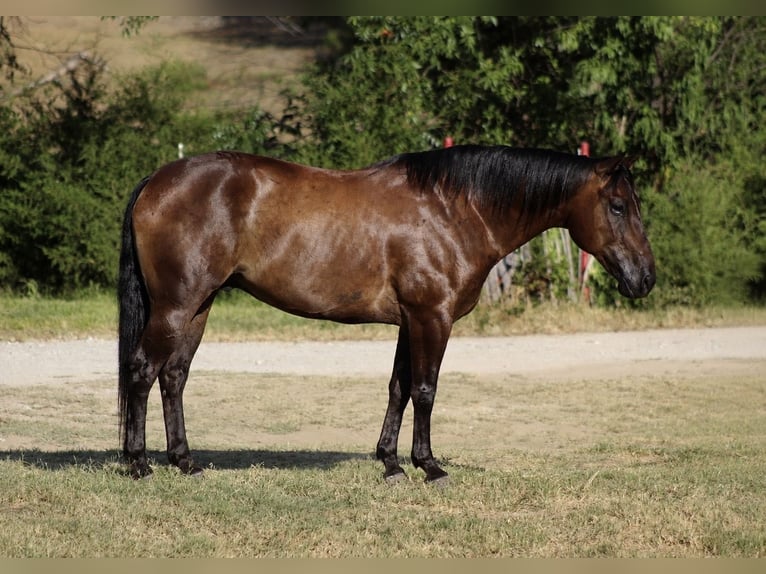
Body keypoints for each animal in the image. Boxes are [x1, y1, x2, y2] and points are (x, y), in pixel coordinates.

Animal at [117, 145, 655, 484]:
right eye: (617, 206)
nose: (645, 278)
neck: (454, 210)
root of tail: (156, 181)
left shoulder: (410, 321)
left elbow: (399, 387)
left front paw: (391, 463)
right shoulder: (432, 318)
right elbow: (425, 389)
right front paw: (429, 466)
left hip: (198, 307)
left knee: (174, 376)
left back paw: (184, 461)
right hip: (177, 306)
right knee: (143, 370)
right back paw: (138, 463)